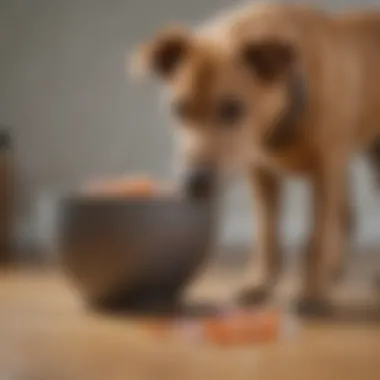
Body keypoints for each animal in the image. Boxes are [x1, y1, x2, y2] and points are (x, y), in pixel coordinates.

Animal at [131, 1, 380, 314]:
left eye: (233, 108)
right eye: (178, 109)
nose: (194, 182)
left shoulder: (325, 172)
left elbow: (316, 239)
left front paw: (312, 293)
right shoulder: (262, 174)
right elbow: (266, 235)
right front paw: (259, 284)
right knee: (347, 215)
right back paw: (334, 270)